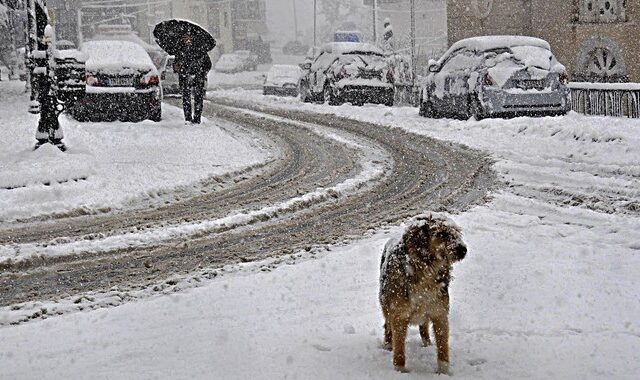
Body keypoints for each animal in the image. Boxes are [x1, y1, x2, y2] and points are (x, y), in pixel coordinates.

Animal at [380, 214, 464, 374]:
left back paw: (427, 343)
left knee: (423, 326)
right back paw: (387, 345)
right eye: (441, 234)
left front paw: (443, 372)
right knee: (387, 325)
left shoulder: (440, 314)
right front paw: (400, 370)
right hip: (386, 305)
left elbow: (443, 347)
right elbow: (399, 348)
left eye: (456, 232)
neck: (426, 271)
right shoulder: (399, 315)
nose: (463, 250)